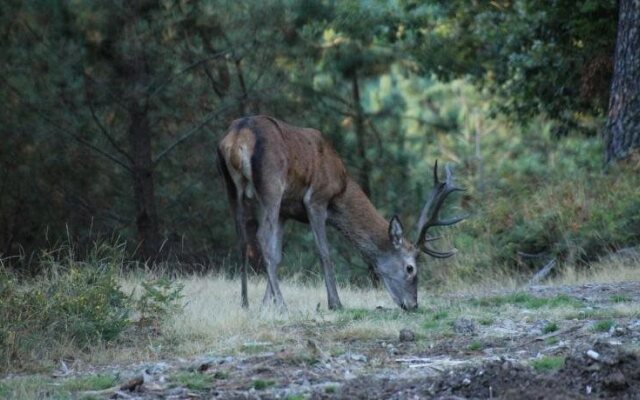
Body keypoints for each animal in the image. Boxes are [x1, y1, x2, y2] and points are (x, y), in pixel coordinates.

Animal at [216, 114, 464, 310]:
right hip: (271, 184)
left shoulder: (285, 211)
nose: (413, 305)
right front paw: (335, 303)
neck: (341, 187)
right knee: (260, 237)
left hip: (231, 186)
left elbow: (277, 256)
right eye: (410, 268)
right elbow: (324, 252)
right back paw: (284, 306)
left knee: (243, 239)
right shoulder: (316, 199)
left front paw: (266, 304)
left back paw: (245, 302)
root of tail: (238, 135)